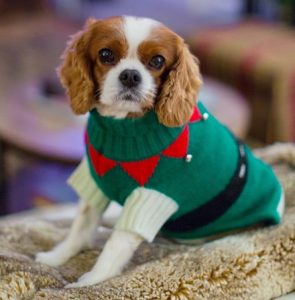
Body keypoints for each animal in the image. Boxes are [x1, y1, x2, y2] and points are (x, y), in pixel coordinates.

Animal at [35, 15, 286, 286]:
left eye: (157, 61)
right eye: (106, 55)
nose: (130, 75)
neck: (124, 127)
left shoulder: (152, 197)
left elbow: (115, 245)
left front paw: (92, 281)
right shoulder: (95, 181)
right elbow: (81, 224)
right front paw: (57, 256)